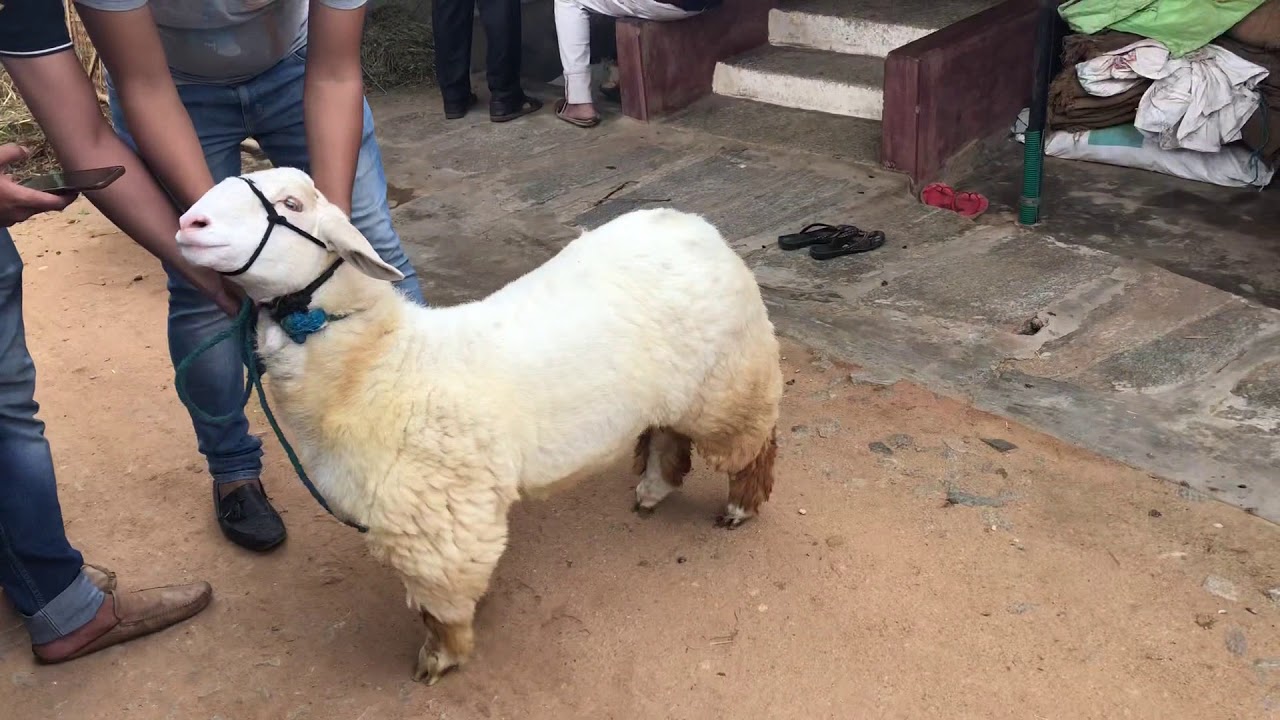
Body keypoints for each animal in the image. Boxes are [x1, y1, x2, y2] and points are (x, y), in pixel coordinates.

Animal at [175, 166, 783, 684]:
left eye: (292, 204)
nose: (188, 223)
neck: (382, 366)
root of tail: (695, 224)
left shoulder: (435, 527)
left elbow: (438, 610)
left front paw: (438, 660)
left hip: (729, 380)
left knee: (753, 441)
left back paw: (739, 507)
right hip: (680, 390)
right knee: (667, 434)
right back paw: (654, 490)